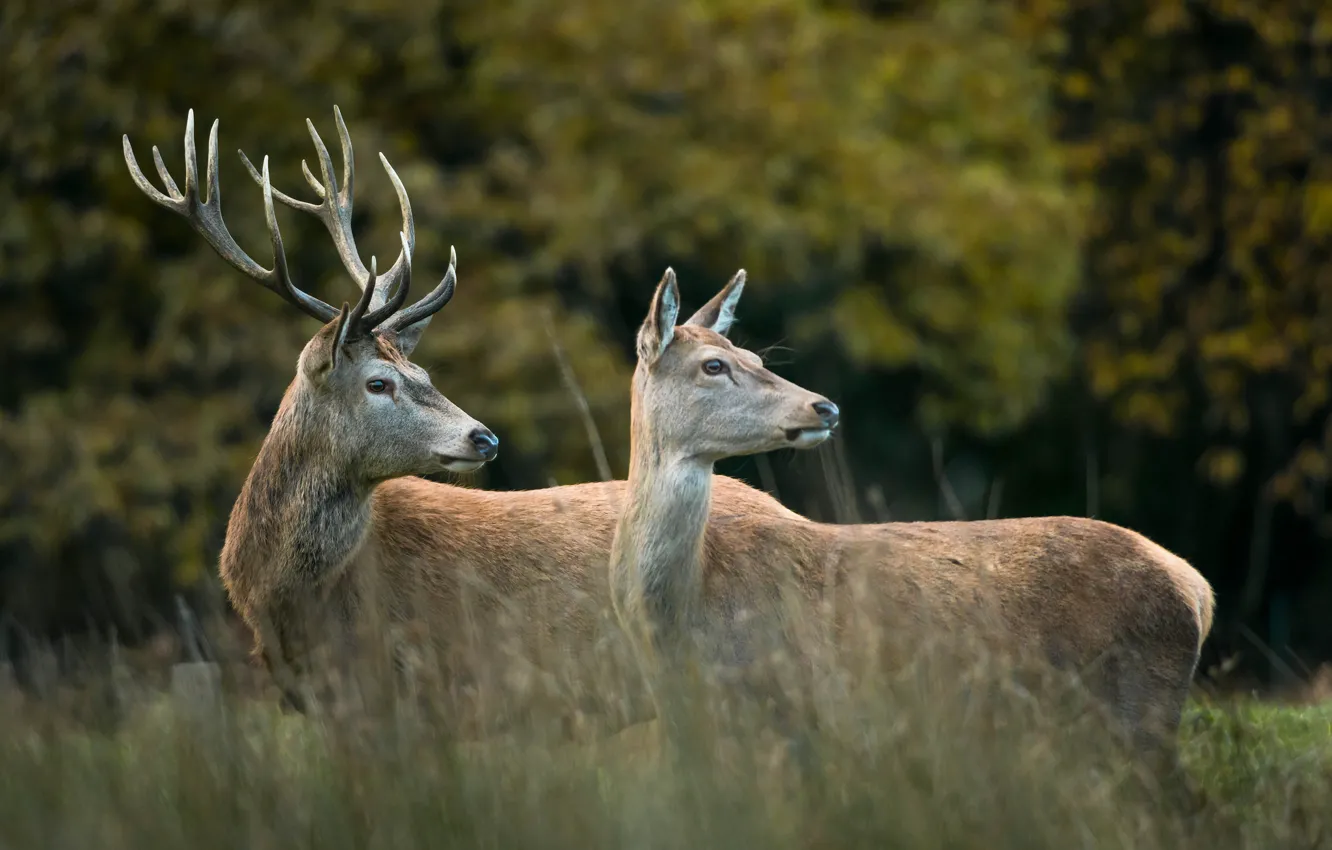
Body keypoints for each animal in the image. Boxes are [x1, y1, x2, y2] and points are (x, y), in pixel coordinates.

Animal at [609, 267, 1216, 776]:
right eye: (714, 365)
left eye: (757, 356)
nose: (824, 407)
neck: (681, 609)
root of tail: (1195, 587)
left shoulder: (794, 708)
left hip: (1141, 709)